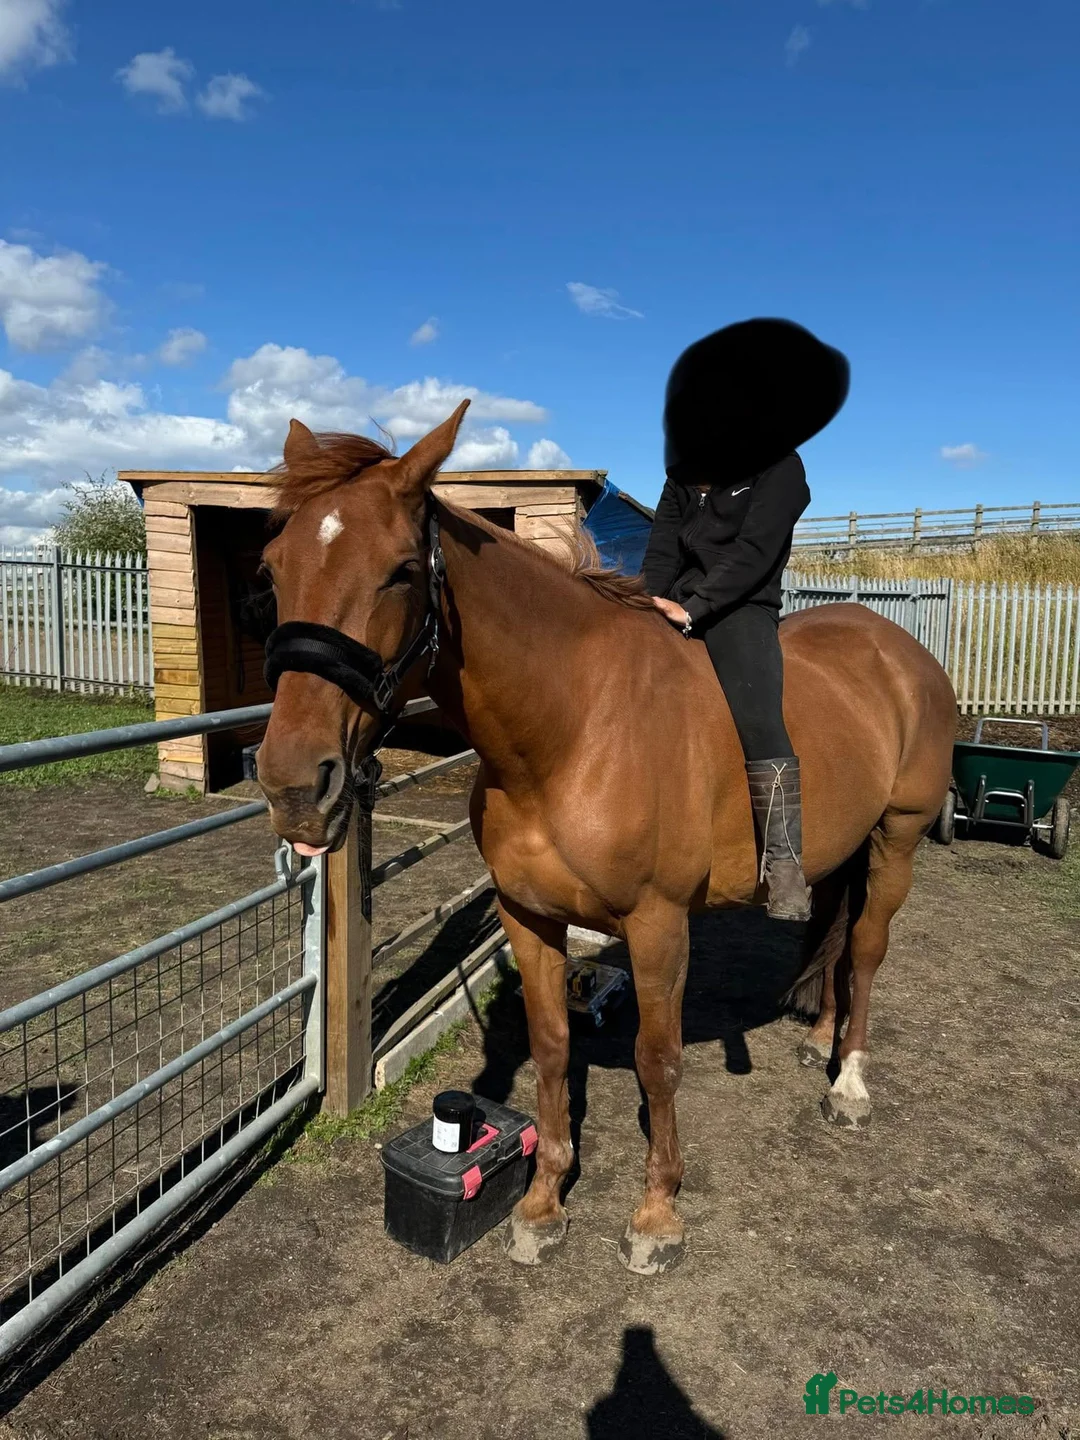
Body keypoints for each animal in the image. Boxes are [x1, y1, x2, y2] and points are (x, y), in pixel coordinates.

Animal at [255, 400, 957, 1275]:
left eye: (400, 571)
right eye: (272, 568)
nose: (292, 786)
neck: (573, 728)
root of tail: (896, 647)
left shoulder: (658, 927)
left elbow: (659, 1062)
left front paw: (657, 1214)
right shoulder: (529, 917)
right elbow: (554, 1047)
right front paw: (545, 1201)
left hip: (897, 837)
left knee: (864, 948)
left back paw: (849, 1083)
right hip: (839, 846)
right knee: (829, 925)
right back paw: (821, 1036)